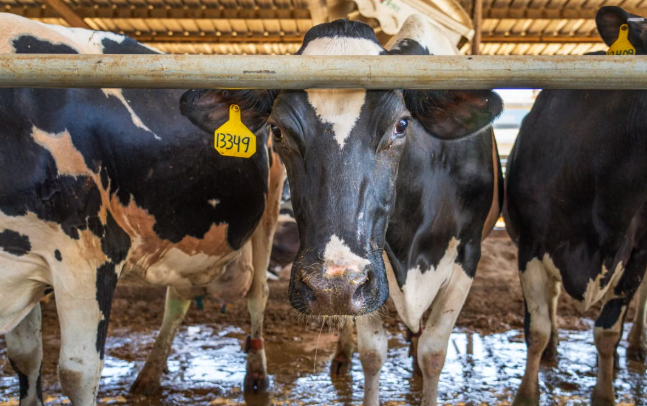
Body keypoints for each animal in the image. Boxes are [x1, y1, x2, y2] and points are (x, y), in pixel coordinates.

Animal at [0, 14, 284, 405]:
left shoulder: (90, 254)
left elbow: (76, 373)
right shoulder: (24, 262)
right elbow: (26, 357)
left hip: (270, 208)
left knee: (259, 294)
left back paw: (256, 375)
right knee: (178, 299)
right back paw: (149, 375)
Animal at [182, 15, 503, 406]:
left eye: (401, 124)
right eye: (277, 130)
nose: (330, 287)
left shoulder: (467, 256)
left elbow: (433, 352)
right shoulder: (371, 271)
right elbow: (373, 352)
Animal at [504, 6, 647, 406]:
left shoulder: (638, 253)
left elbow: (607, 331)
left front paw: (605, 393)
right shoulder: (531, 246)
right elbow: (536, 328)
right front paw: (527, 394)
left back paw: (635, 346)